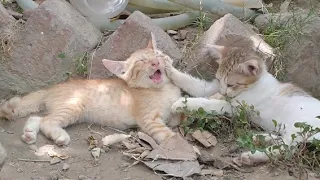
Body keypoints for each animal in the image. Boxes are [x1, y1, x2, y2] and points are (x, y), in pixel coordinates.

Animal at [0, 35, 182, 146]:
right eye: (141, 62)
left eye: (157, 55)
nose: (155, 63)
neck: (163, 89)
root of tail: (52, 88)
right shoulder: (149, 120)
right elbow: (170, 136)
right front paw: (182, 150)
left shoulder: (173, 116)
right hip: (73, 106)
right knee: (46, 121)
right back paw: (59, 136)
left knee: (36, 117)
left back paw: (29, 133)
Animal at [166, 44, 320, 166]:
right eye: (219, 79)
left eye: (231, 84)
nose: (223, 91)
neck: (254, 85)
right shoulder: (211, 88)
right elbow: (191, 83)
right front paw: (168, 68)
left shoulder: (235, 107)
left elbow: (208, 103)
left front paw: (181, 103)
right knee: (283, 141)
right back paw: (259, 138)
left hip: (301, 128)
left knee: (287, 149)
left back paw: (252, 156)